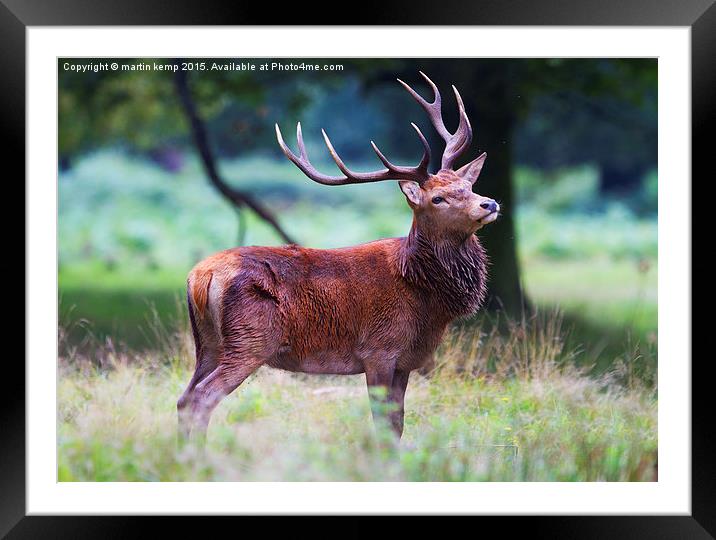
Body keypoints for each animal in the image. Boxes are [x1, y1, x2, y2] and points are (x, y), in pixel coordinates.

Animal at [178, 73, 504, 442]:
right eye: (437, 198)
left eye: (468, 186)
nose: (489, 203)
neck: (424, 296)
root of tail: (199, 277)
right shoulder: (379, 350)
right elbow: (383, 424)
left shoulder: (405, 360)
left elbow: (398, 423)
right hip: (250, 340)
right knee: (203, 397)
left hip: (207, 344)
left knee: (184, 398)